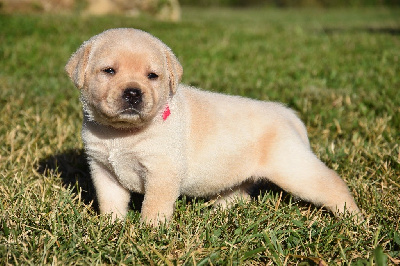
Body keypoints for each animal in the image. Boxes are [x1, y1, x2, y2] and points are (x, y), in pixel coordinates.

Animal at [66, 28, 362, 225]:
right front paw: (111, 228)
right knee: (239, 193)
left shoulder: (162, 171)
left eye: (152, 76)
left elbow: (154, 206)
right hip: (244, 172)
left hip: (293, 168)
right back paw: (217, 210)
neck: (121, 133)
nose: (133, 93)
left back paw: (354, 219)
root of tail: (287, 114)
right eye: (109, 71)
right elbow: (111, 203)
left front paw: (150, 232)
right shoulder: (103, 169)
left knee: (332, 183)